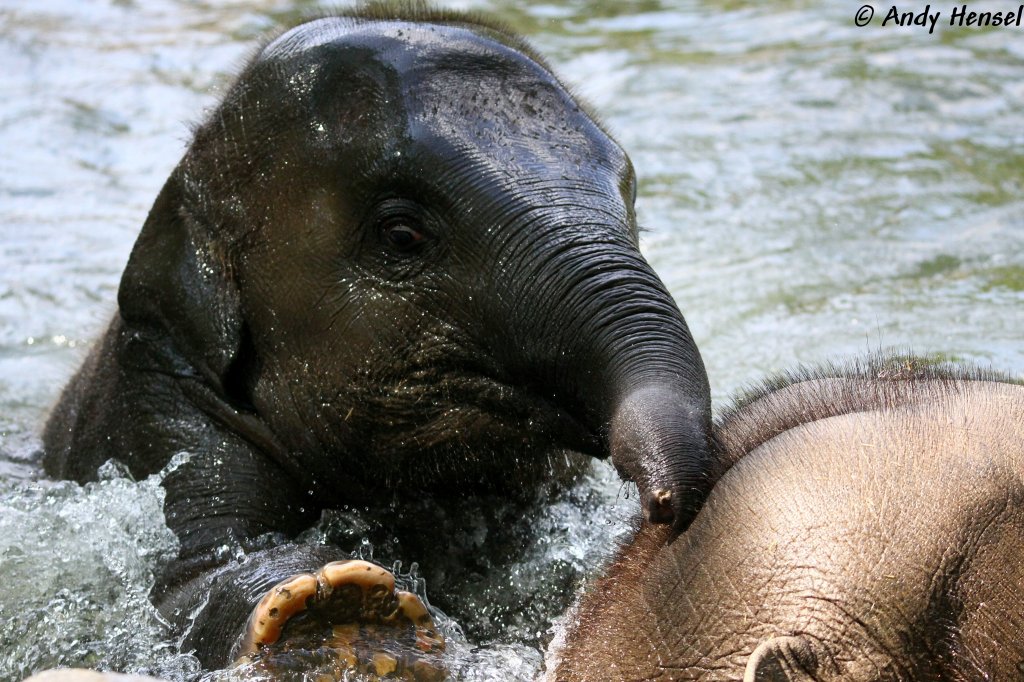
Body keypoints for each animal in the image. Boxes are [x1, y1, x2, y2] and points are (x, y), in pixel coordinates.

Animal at [39, 5, 712, 675]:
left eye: (631, 203)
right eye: (401, 234)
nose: (663, 502)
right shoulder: (158, 412)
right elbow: (190, 585)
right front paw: (342, 616)